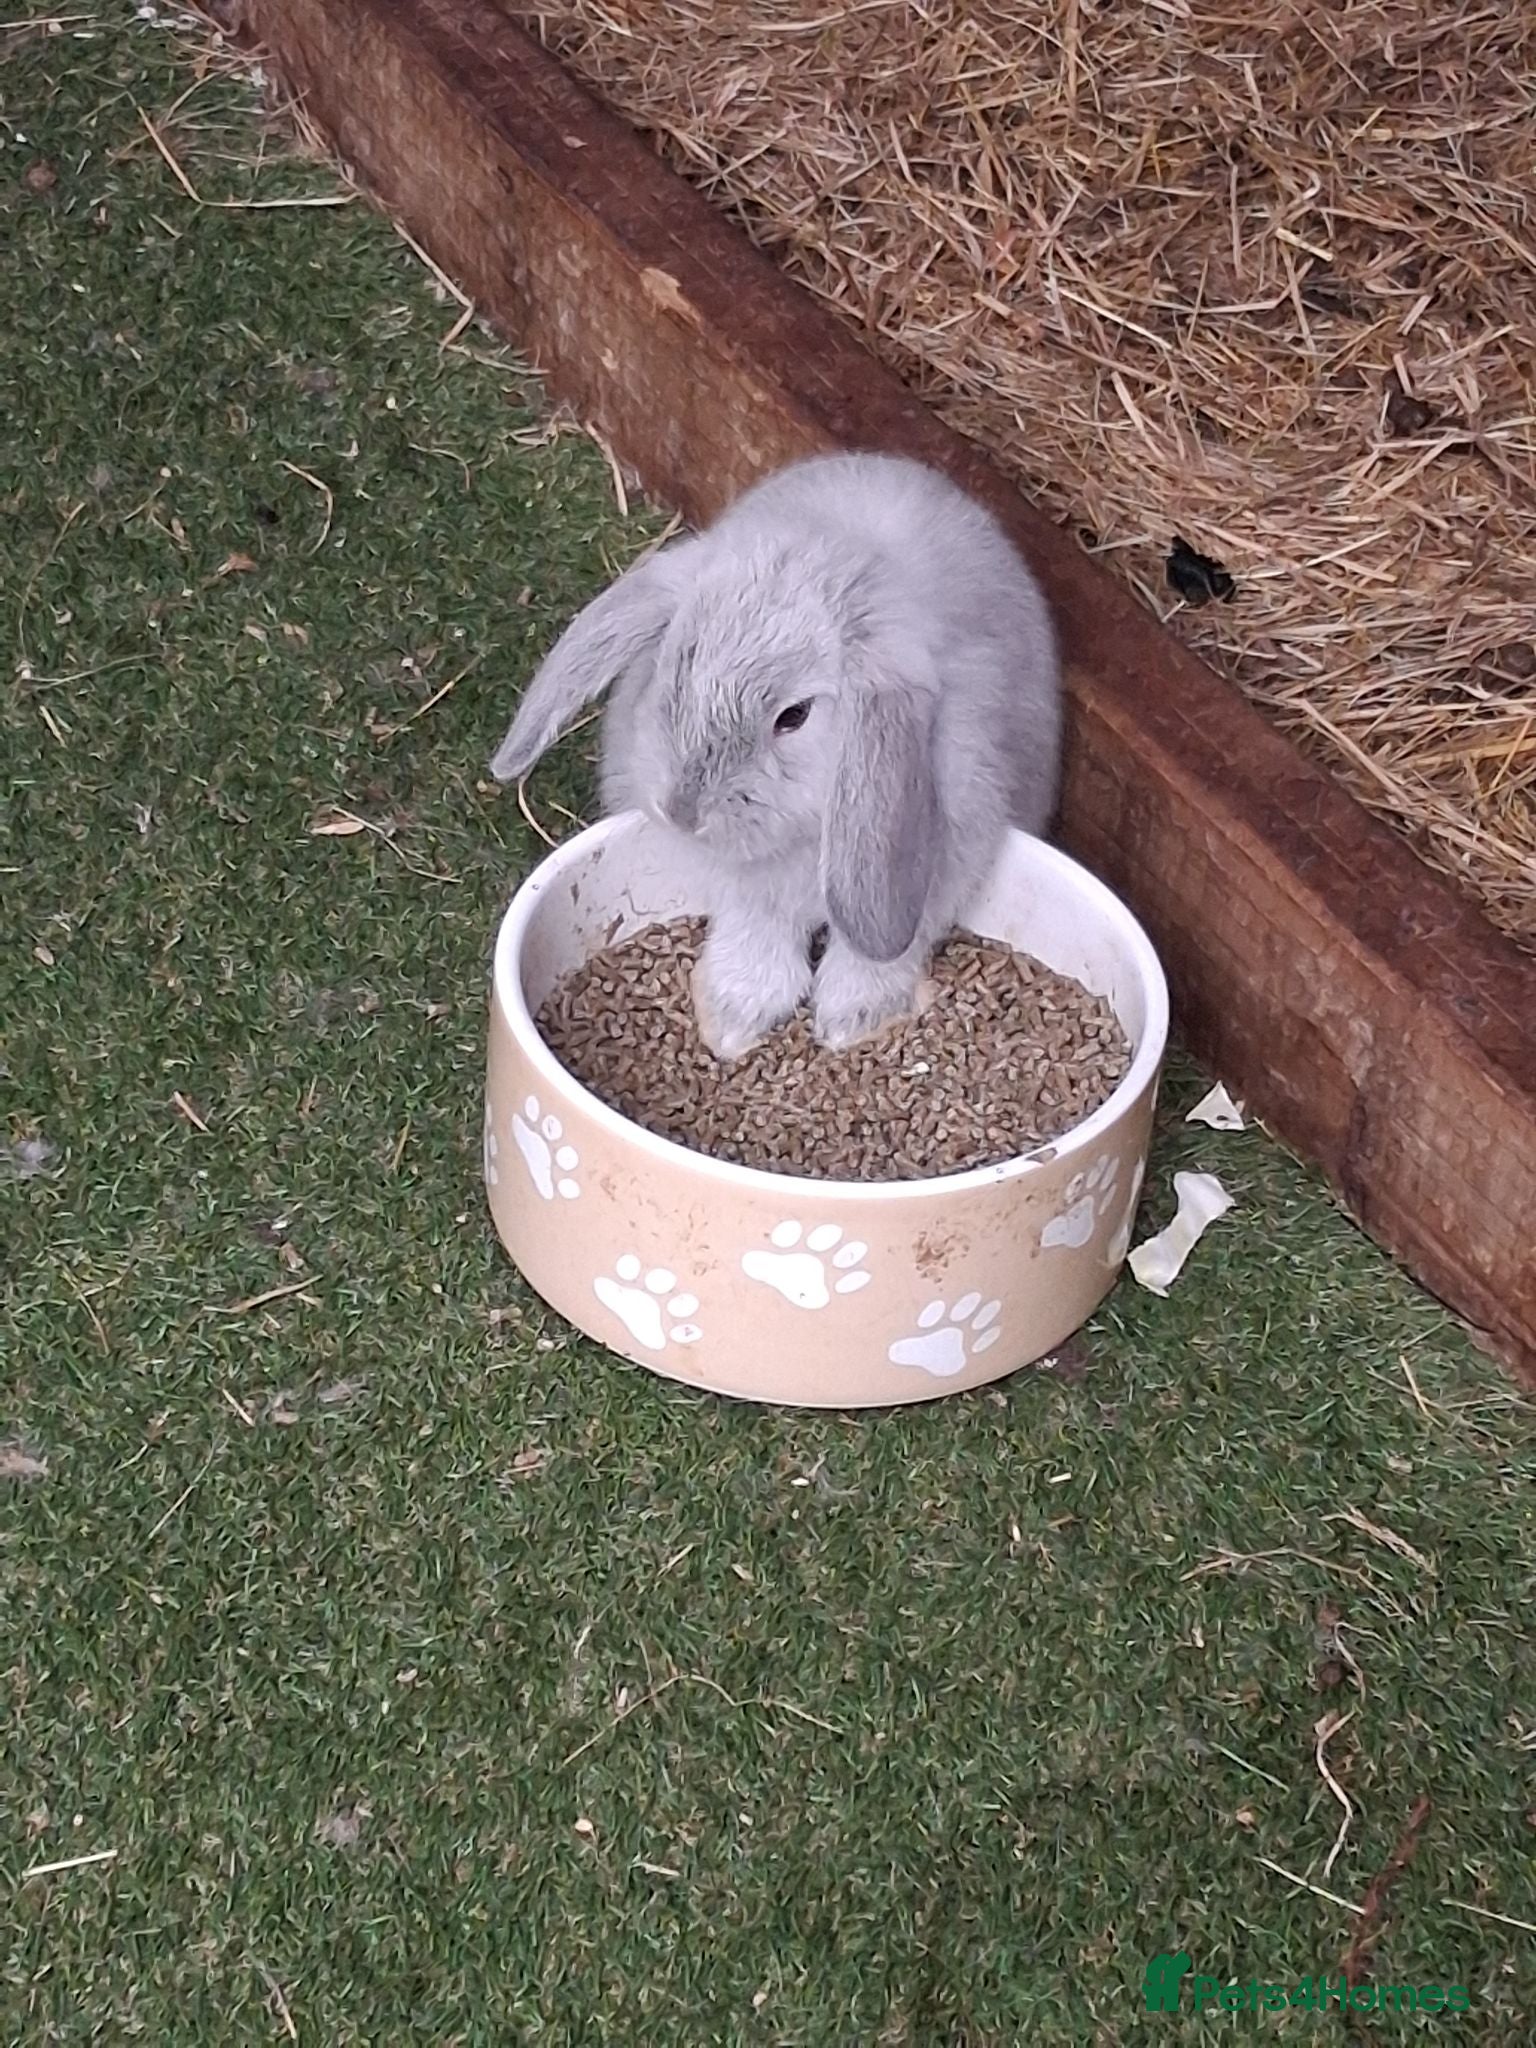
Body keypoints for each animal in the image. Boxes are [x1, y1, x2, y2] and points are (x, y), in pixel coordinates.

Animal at [489, 450, 1062, 1060]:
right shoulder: (747, 887)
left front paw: (850, 1021)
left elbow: (884, 950)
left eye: (794, 716)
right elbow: (756, 931)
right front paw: (733, 1021)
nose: (682, 811)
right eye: (673, 670)